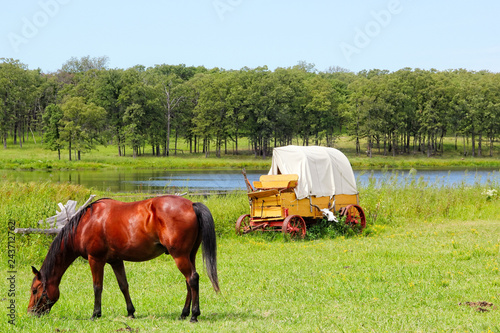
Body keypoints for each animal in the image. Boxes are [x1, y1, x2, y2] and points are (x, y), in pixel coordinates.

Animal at [27, 196, 219, 320]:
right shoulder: (115, 261)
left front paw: (95, 314)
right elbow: (123, 285)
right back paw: (184, 313)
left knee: (192, 279)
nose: (31, 313)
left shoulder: (95, 259)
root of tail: (192, 205)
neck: (86, 223)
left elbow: (97, 287)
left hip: (179, 256)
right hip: (189, 255)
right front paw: (131, 312)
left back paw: (194, 315)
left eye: (35, 290)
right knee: (189, 282)